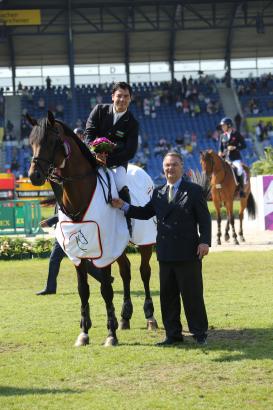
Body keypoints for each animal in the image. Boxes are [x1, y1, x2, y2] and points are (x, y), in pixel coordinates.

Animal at [27, 110, 157, 348]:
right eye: (31, 142)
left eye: (50, 141)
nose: (34, 176)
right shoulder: (79, 253)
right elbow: (83, 290)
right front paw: (84, 332)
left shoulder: (103, 250)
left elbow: (105, 289)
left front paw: (110, 334)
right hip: (118, 246)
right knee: (126, 272)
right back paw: (125, 316)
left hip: (145, 242)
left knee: (144, 272)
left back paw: (150, 316)